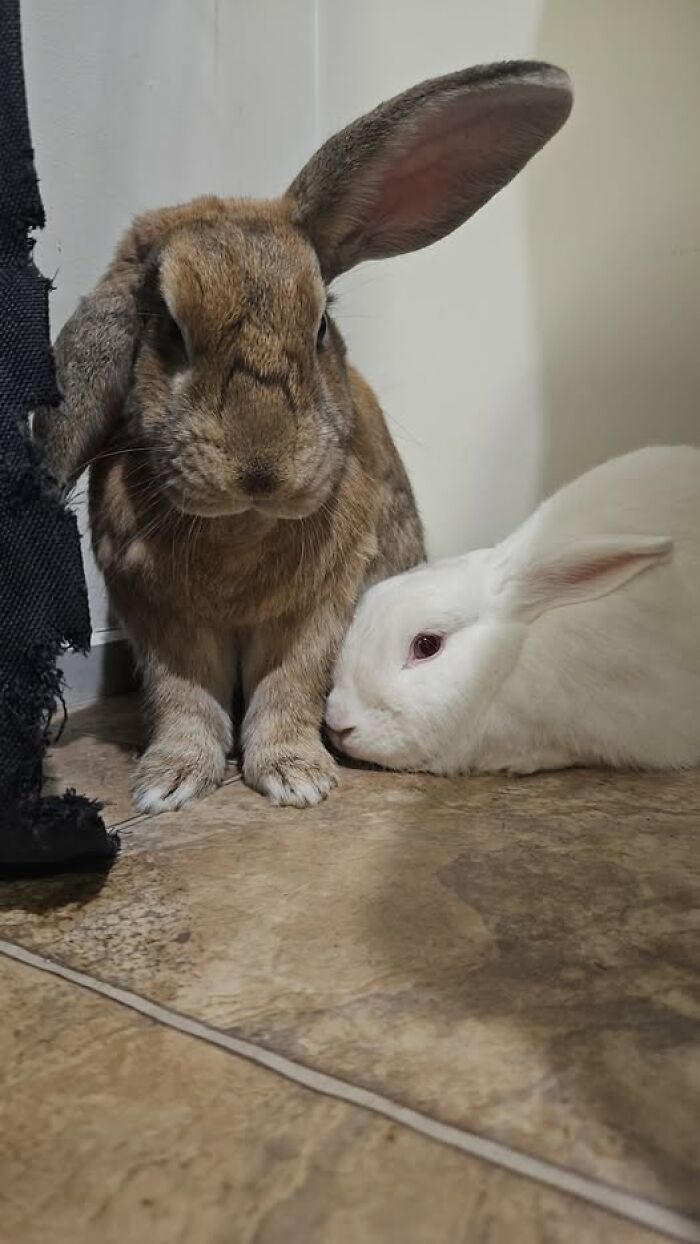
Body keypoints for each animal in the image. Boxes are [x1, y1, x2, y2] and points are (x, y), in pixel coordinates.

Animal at [34, 61, 572, 812]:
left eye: (320, 325)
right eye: (167, 327)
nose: (260, 471)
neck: (240, 527)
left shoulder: (321, 609)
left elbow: (288, 689)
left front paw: (297, 778)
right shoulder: (161, 619)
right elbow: (184, 701)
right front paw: (168, 784)